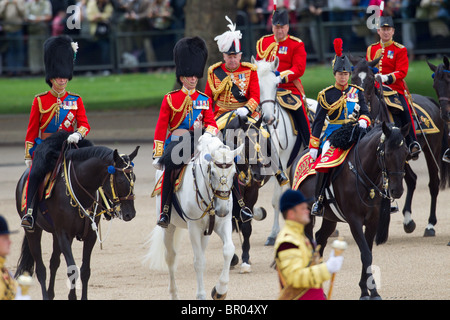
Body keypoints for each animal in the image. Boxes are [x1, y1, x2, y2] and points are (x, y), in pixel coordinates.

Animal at [14, 133, 139, 300]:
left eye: (134, 178)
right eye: (119, 180)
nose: (130, 213)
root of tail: (24, 176)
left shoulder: (89, 235)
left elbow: (85, 270)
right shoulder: (64, 234)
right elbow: (72, 269)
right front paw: (72, 296)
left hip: (55, 235)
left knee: (54, 262)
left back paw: (51, 293)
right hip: (33, 231)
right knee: (40, 269)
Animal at [143, 134, 243, 300]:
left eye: (234, 173)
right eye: (212, 172)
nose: (222, 210)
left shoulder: (223, 223)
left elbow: (228, 250)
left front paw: (220, 290)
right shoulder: (194, 227)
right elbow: (199, 262)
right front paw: (201, 295)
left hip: (206, 232)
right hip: (169, 227)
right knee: (170, 257)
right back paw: (174, 293)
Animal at [253, 57, 316, 245]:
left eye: (276, 85)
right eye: (257, 85)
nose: (268, 118)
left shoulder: (283, 162)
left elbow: (277, 199)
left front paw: (275, 234)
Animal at [352, 55, 450, 236]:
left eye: (370, 79)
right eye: (353, 78)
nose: (359, 104)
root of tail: (429, 100)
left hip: (432, 150)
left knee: (433, 183)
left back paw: (430, 225)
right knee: (411, 180)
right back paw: (408, 220)